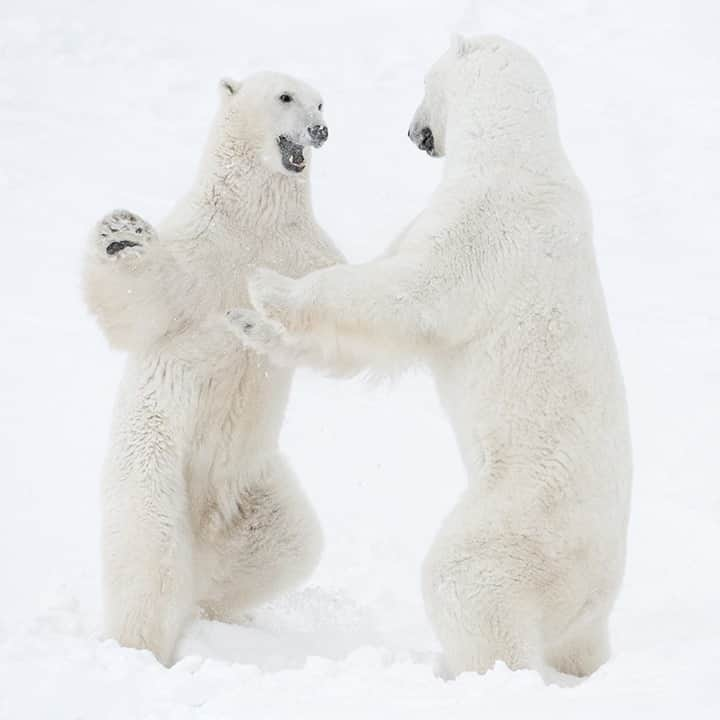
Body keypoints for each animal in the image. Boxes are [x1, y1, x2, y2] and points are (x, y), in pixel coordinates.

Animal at [84, 71, 344, 664]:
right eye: (285, 97)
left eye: (321, 102)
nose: (319, 131)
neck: (254, 219)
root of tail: (205, 524)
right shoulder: (199, 247)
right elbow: (145, 304)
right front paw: (120, 234)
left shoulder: (303, 252)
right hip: (156, 456)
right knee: (149, 546)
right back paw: (143, 646)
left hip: (257, 483)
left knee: (290, 545)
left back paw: (221, 608)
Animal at [228, 38, 632, 680]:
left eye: (423, 83)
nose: (415, 132)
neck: (518, 151)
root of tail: (598, 585)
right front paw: (250, 327)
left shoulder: (483, 230)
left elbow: (405, 296)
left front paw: (268, 284)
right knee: (574, 644)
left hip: (519, 519)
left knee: (465, 584)